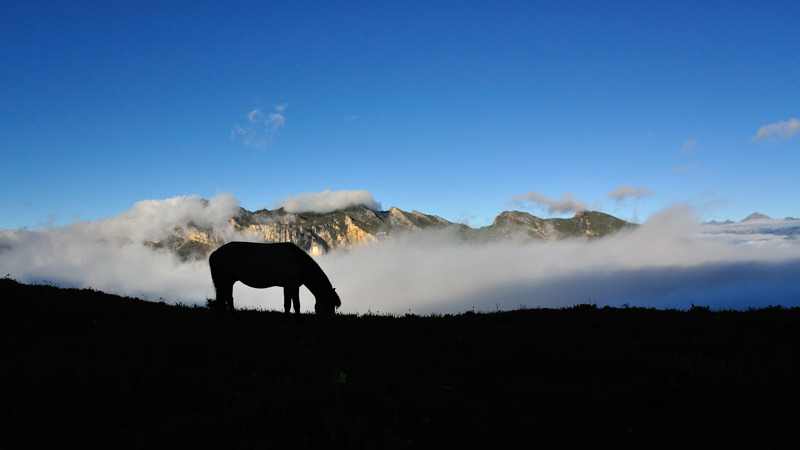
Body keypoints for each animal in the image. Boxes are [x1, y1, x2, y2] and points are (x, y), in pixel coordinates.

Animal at [206, 243, 340, 316]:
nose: (330, 322)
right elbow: (289, 305)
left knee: (224, 298)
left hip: (227, 282)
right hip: (226, 281)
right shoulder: (289, 285)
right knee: (227, 298)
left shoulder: (293, 286)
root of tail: (214, 253)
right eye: (329, 304)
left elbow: (295, 305)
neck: (298, 262)